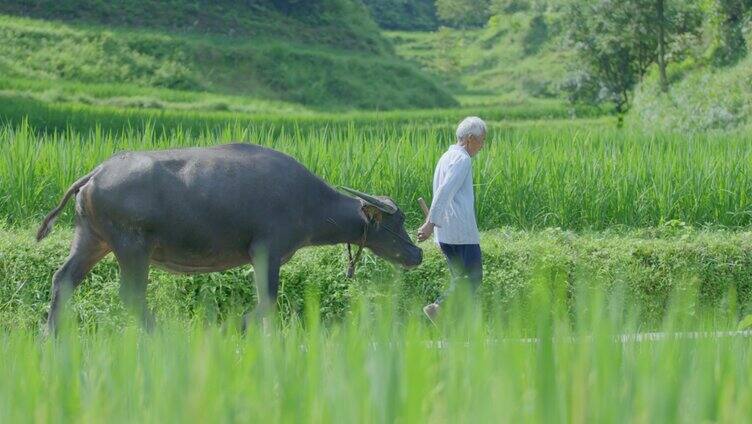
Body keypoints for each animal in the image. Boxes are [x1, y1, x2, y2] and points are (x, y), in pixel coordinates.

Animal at [38, 142, 424, 332]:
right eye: (397, 221)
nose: (417, 254)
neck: (309, 201)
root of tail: (96, 173)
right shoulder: (266, 252)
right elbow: (267, 302)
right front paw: (230, 329)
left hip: (92, 239)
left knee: (63, 279)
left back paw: (51, 337)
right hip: (132, 247)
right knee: (131, 295)